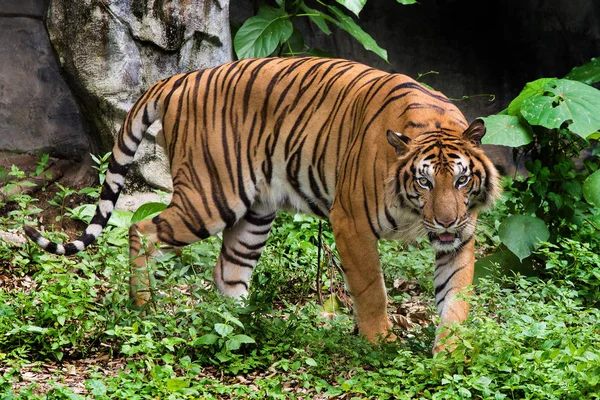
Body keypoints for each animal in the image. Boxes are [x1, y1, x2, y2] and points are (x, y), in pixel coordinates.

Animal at [23, 57, 500, 354]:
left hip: (254, 214)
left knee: (227, 272)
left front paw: (452, 352)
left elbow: (457, 296)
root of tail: (179, 78)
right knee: (142, 229)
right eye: (423, 181)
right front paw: (381, 343)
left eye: (461, 179)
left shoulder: (460, 238)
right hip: (210, 196)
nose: (446, 220)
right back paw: (145, 307)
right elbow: (371, 290)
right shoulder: (350, 222)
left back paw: (240, 326)